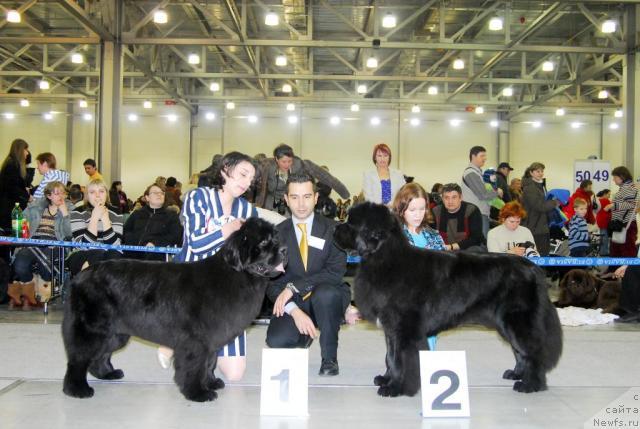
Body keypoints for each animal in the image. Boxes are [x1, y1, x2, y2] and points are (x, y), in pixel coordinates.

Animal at [62, 217, 288, 402]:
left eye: (276, 239)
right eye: (264, 242)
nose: (285, 250)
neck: (236, 274)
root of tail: (79, 276)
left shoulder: (211, 339)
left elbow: (210, 363)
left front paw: (211, 382)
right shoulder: (196, 340)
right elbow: (195, 366)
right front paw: (198, 392)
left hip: (115, 333)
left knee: (99, 355)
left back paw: (107, 374)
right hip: (92, 329)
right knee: (78, 359)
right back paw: (77, 389)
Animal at [332, 202, 564, 396]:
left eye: (351, 224)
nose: (334, 229)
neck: (385, 257)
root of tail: (533, 268)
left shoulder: (404, 328)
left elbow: (400, 359)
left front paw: (397, 387)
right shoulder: (391, 328)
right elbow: (390, 356)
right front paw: (386, 379)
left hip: (517, 320)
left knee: (532, 349)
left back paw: (530, 384)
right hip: (506, 323)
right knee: (519, 350)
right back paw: (517, 374)